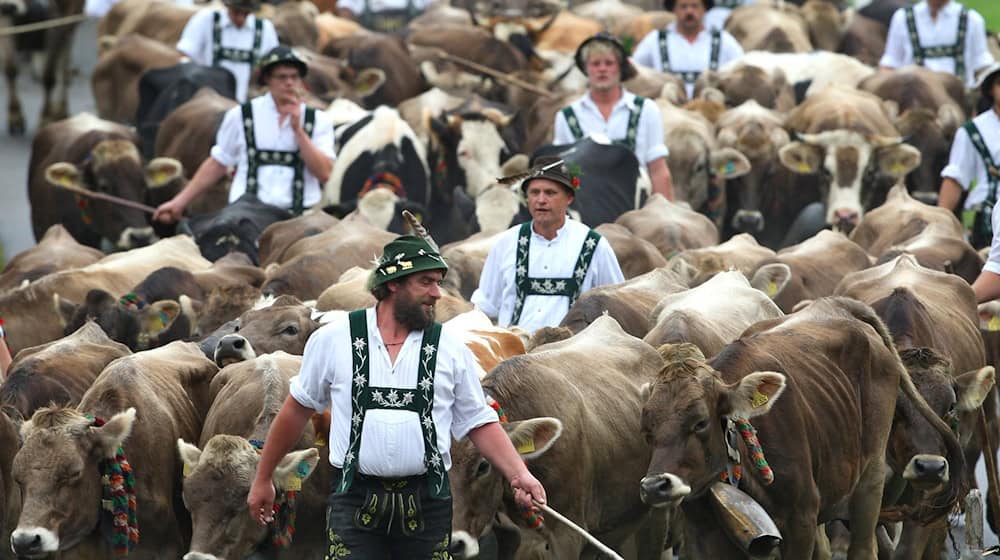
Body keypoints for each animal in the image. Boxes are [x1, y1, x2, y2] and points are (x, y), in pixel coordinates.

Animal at [640, 300, 960, 556]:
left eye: (700, 422)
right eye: (647, 429)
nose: (655, 486)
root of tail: (835, 304)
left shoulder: (801, 518)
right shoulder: (701, 531)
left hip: (870, 479)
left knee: (864, 547)